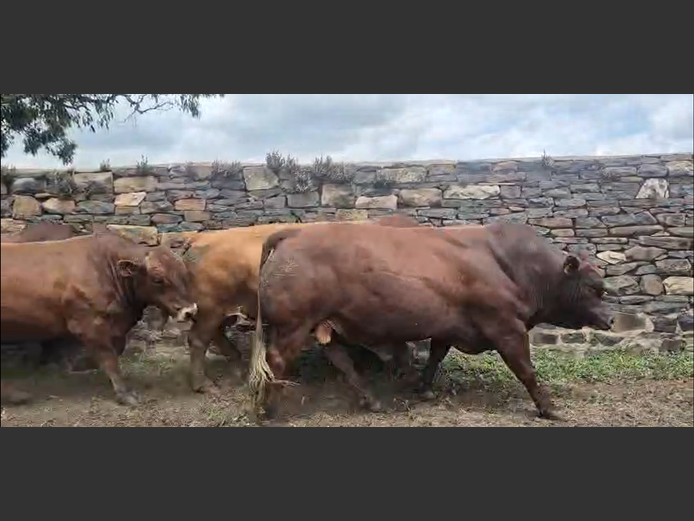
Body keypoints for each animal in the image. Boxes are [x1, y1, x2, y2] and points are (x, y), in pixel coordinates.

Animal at [1, 232, 198, 406]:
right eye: (157, 279)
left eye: (184, 273)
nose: (190, 311)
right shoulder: (89, 325)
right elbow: (109, 358)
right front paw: (124, 394)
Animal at [144, 214, 423, 394]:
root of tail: (198, 238)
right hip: (210, 309)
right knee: (198, 340)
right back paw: (203, 384)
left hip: (220, 311)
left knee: (217, 336)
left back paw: (239, 367)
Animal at [247, 221, 614, 421]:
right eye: (595, 288)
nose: (611, 319)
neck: (513, 264)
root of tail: (293, 233)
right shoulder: (505, 325)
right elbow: (527, 370)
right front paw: (549, 408)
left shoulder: (450, 324)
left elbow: (436, 355)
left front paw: (422, 387)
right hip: (293, 325)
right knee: (276, 361)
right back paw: (269, 411)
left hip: (325, 324)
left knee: (342, 361)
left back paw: (372, 400)